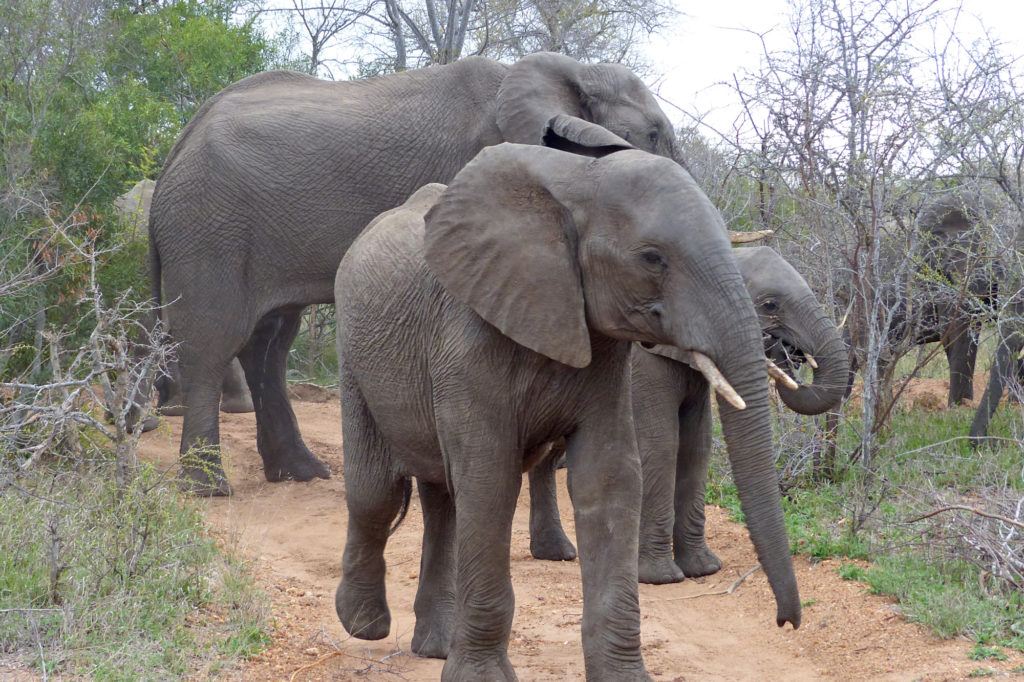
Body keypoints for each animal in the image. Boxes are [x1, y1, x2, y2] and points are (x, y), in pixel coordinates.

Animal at [149, 52, 685, 495]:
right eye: (653, 135)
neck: (568, 70)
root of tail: (178, 144)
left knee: (269, 342)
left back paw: (301, 473)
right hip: (209, 226)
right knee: (213, 340)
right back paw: (209, 489)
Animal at [332, 140, 801, 681]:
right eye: (652, 258)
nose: (786, 622)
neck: (580, 181)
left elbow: (609, 478)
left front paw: (623, 677)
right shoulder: (466, 337)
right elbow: (491, 481)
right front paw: (482, 679)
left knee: (442, 498)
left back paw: (436, 646)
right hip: (355, 356)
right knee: (378, 492)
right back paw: (363, 625)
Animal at [527, 246, 849, 585]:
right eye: (770, 305)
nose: (785, 352)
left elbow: (697, 446)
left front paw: (703, 569)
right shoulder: (645, 366)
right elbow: (663, 446)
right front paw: (660, 578)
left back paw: (556, 553)